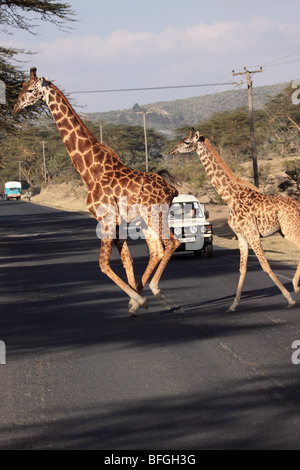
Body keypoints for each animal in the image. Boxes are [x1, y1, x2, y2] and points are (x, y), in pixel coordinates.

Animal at [14, 68, 180, 318]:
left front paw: (137, 299)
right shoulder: (117, 222)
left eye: (31, 90)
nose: (15, 107)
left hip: (155, 214)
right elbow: (127, 260)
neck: (91, 170)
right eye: (22, 87)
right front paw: (135, 301)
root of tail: (170, 188)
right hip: (145, 219)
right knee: (157, 250)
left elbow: (103, 264)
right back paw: (145, 292)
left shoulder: (106, 219)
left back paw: (154, 289)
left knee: (171, 243)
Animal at [170, 129, 300, 312]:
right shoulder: (241, 236)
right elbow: (242, 268)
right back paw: (296, 285)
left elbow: (265, 265)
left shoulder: (252, 234)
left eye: (187, 142)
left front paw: (289, 299)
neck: (231, 198)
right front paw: (233, 305)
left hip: (290, 228)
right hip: (284, 231)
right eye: (181, 140)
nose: (172, 151)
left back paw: (295, 286)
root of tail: (298, 205)